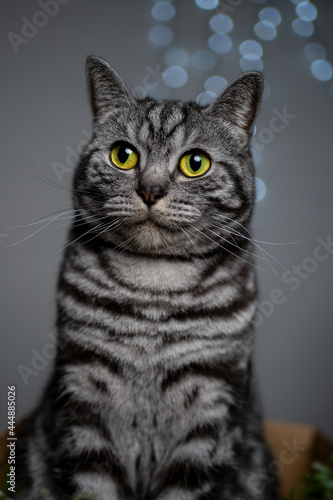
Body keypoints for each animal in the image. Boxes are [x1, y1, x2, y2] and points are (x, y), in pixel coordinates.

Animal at [14, 55, 276, 500]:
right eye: (123, 155)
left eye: (195, 163)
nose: (150, 190)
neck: (155, 285)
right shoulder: (85, 389)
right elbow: (94, 487)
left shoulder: (211, 396)